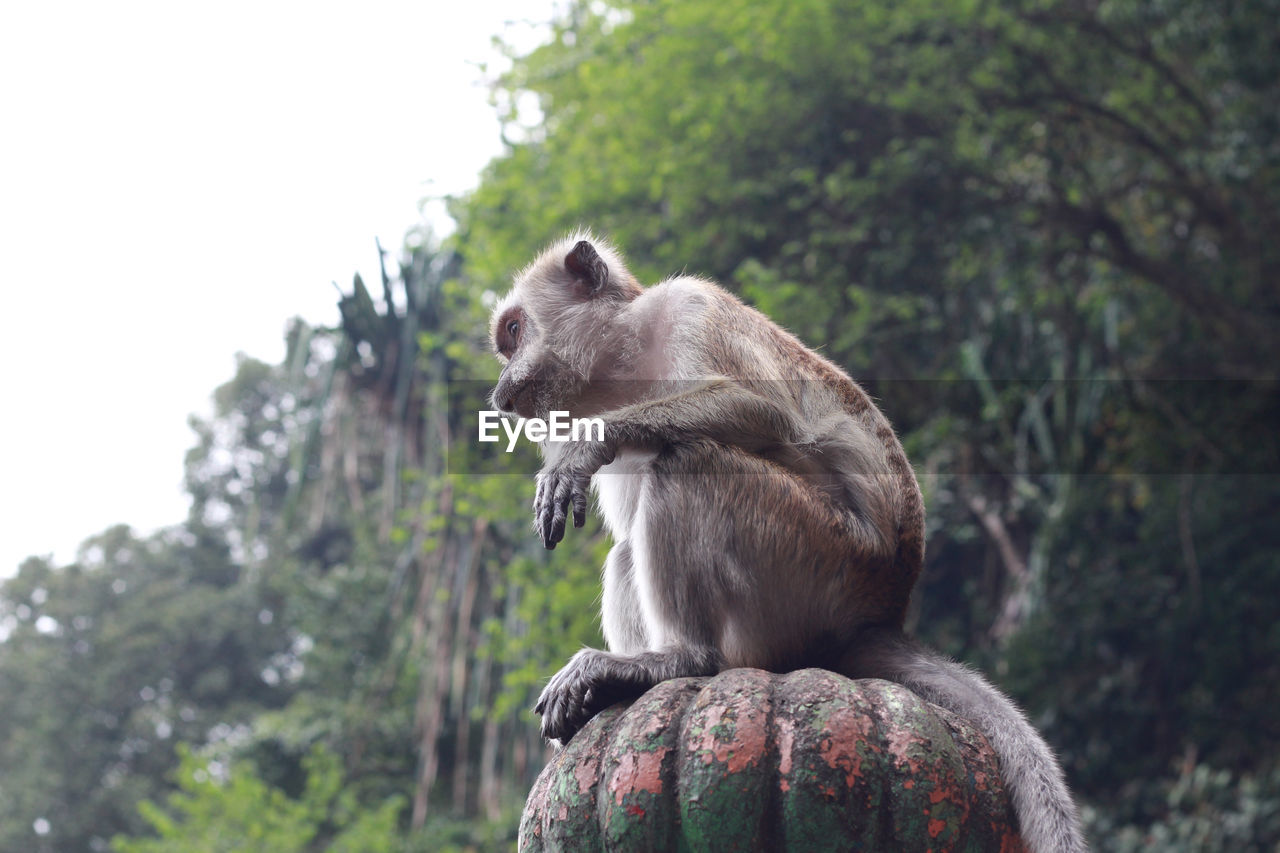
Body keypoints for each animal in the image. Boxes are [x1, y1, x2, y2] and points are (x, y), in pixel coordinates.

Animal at [488, 233, 1090, 850]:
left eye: (513, 330)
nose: (500, 396)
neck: (622, 362)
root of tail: (877, 616)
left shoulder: (689, 309)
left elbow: (763, 411)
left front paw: (586, 447)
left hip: (814, 559)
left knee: (687, 459)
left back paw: (679, 659)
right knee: (630, 545)